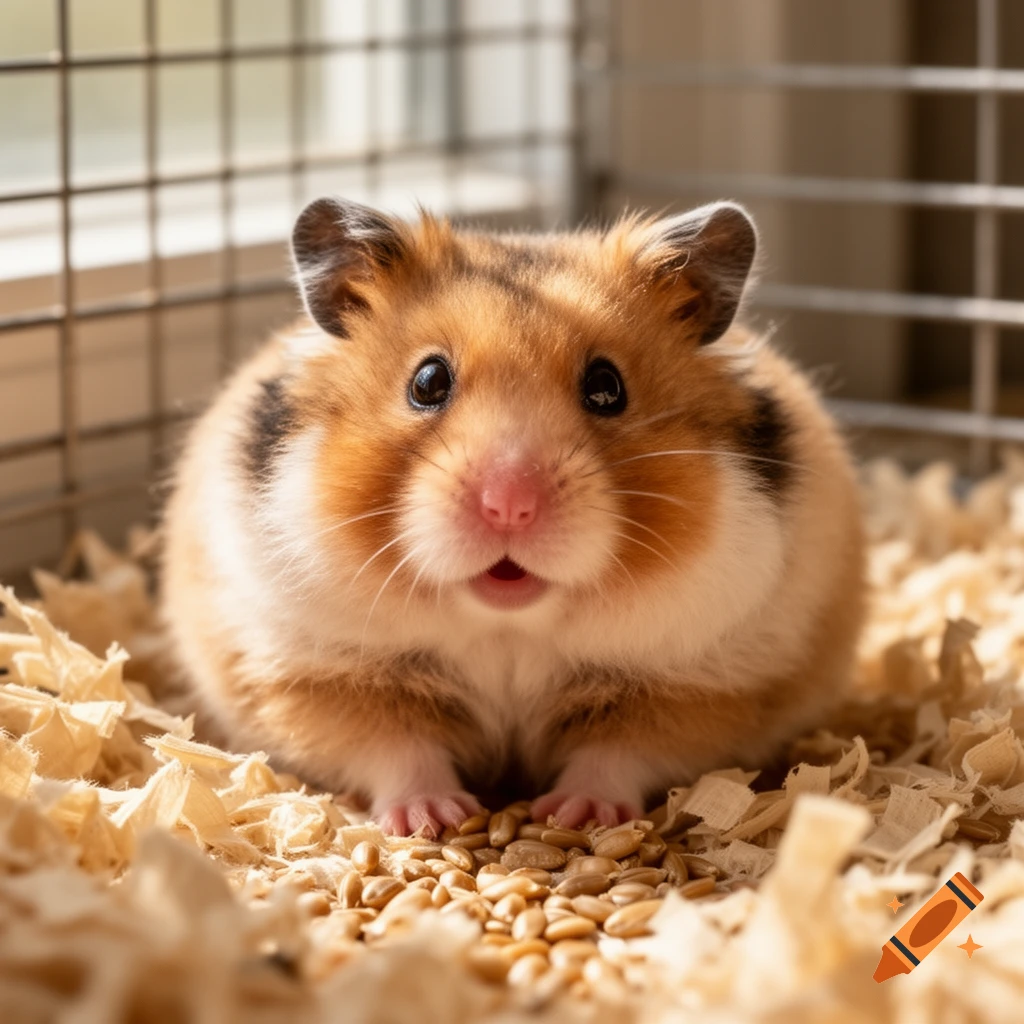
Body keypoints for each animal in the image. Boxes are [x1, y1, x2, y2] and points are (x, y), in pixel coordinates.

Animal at [161, 196, 865, 836]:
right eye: (427, 382)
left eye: (607, 387)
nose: (509, 504)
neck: (507, 629)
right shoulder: (315, 677)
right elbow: (397, 751)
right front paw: (434, 819)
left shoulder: (703, 689)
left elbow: (618, 753)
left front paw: (577, 816)